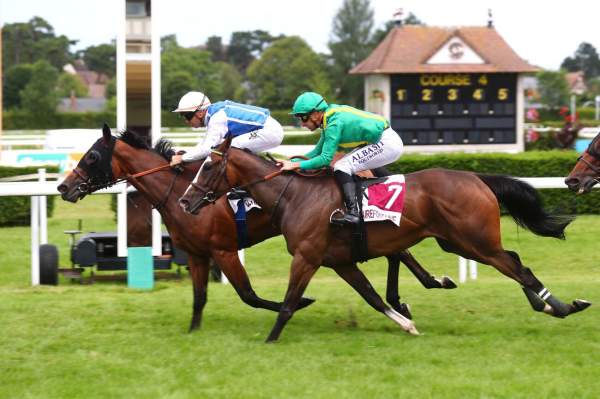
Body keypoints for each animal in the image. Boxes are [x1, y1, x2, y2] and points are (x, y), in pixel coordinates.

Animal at [58, 123, 454, 332]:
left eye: (92, 156)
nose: (63, 187)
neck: (178, 191)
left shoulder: (223, 249)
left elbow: (248, 294)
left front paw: (300, 301)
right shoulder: (197, 254)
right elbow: (199, 297)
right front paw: (193, 331)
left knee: (398, 252)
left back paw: (418, 291)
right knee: (397, 252)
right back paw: (413, 293)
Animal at [179, 138, 592, 344]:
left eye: (208, 166)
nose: (184, 201)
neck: (294, 195)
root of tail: (476, 177)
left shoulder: (307, 257)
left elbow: (289, 302)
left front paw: (270, 339)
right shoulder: (339, 261)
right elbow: (372, 297)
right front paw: (406, 324)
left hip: (476, 242)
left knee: (519, 268)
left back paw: (562, 306)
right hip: (459, 243)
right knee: (517, 261)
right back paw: (549, 305)